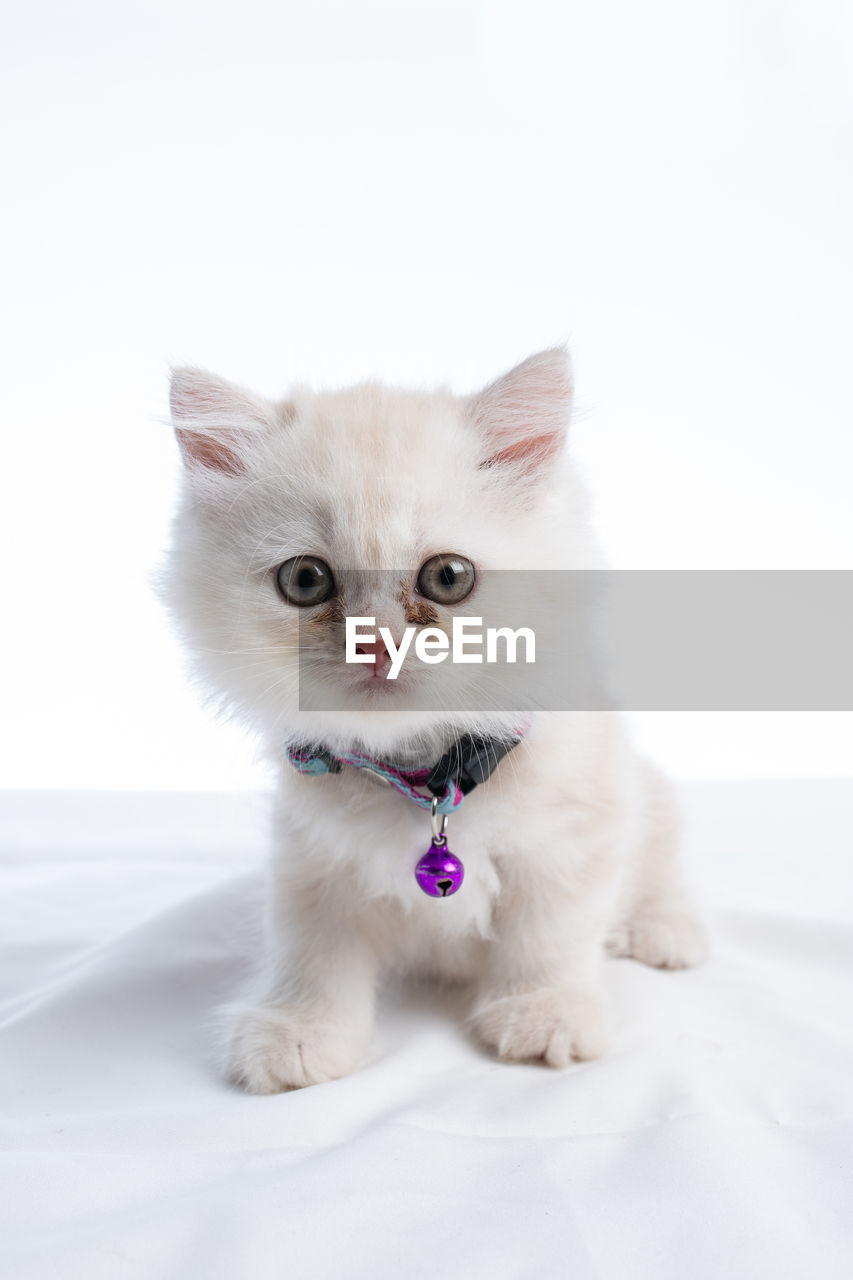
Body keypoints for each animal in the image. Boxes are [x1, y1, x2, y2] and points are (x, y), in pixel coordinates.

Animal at [159, 348, 701, 1090]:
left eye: (447, 577)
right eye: (305, 581)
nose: (377, 644)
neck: (425, 776)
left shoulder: (571, 839)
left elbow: (548, 937)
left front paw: (543, 1015)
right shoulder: (313, 860)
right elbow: (312, 954)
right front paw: (299, 1032)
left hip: (651, 794)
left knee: (662, 873)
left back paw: (663, 934)